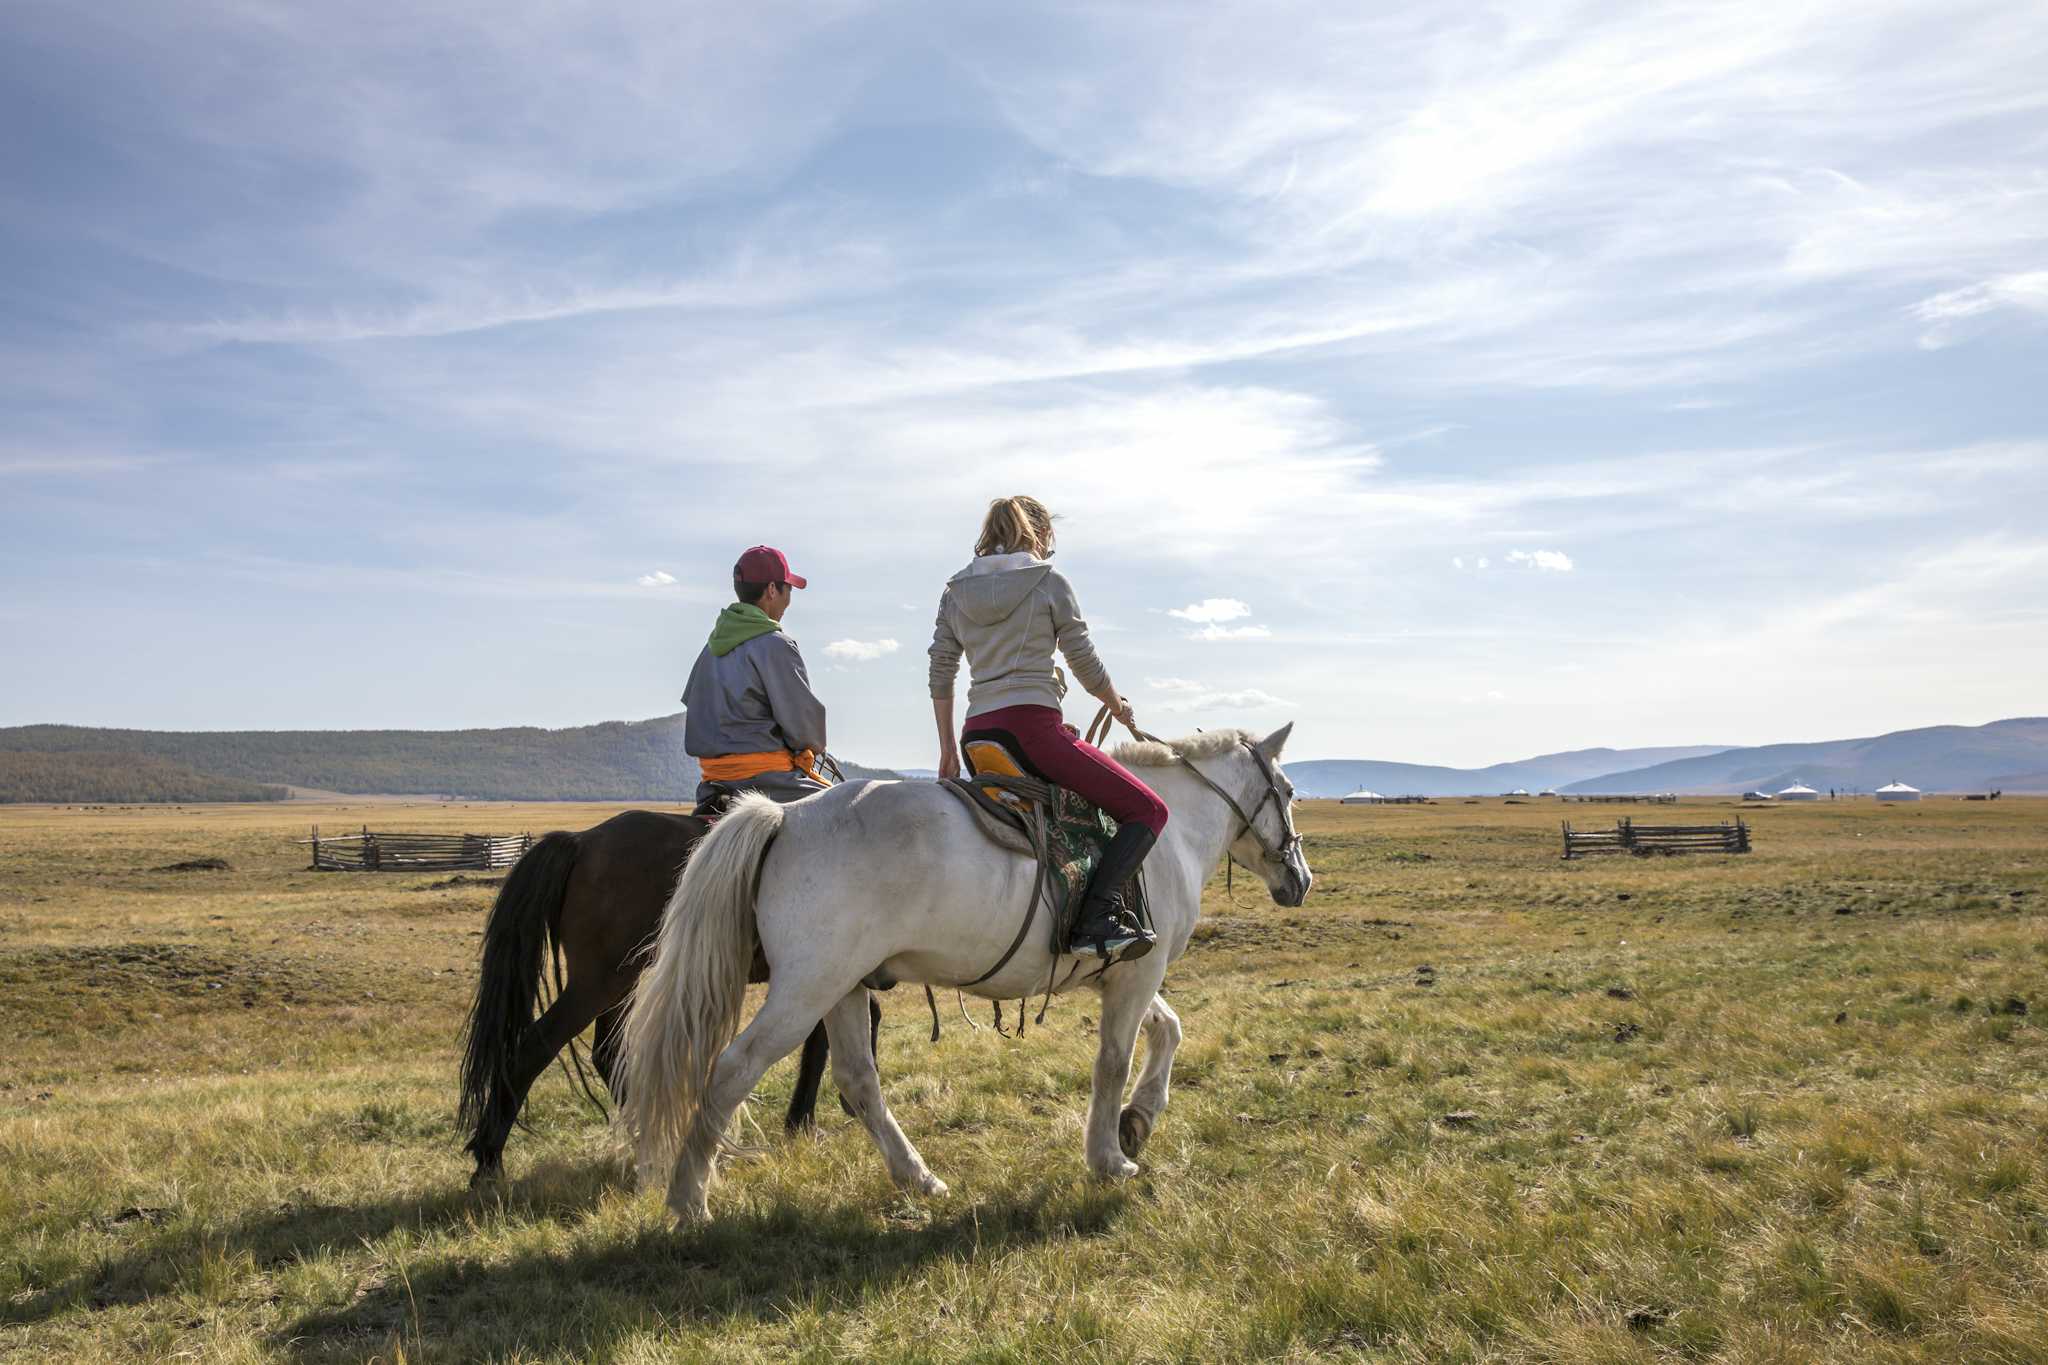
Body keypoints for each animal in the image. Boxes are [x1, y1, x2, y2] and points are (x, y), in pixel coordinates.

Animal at [456, 810, 872, 1186]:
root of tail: (581, 842)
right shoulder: (826, 969)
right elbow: (830, 1037)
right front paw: (810, 1119)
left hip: (620, 982)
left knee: (606, 1053)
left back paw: (652, 1138)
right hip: (598, 983)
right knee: (536, 1047)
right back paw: (489, 1161)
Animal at [614, 720, 1310, 1219]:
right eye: (1290, 793)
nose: (1300, 880)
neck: (1171, 833)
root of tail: (784, 817)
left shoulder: (1128, 970)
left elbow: (1169, 1030)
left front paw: (1137, 1122)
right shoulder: (1137, 974)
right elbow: (1113, 1061)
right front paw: (1110, 1157)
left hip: (842, 987)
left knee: (858, 1081)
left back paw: (919, 1178)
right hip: (804, 991)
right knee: (733, 1069)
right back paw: (688, 1200)